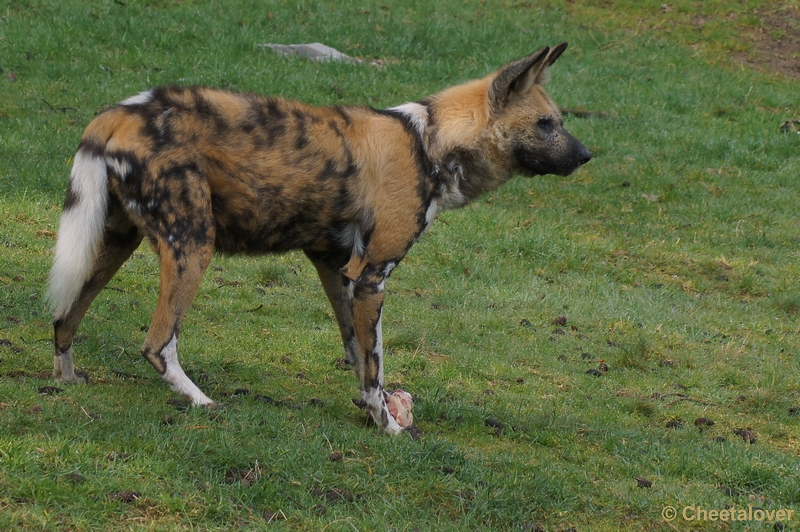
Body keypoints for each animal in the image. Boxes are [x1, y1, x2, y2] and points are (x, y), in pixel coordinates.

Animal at [47, 41, 592, 432]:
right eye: (546, 124)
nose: (586, 155)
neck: (432, 146)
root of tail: (122, 110)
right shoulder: (372, 277)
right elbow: (374, 365)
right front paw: (389, 427)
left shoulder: (337, 269)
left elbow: (357, 357)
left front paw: (373, 411)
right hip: (193, 246)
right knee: (157, 344)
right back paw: (203, 401)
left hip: (117, 242)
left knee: (64, 316)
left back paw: (66, 380)